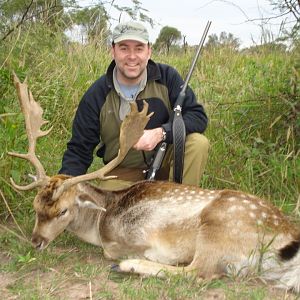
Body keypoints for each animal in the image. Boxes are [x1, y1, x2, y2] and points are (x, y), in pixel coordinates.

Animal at [9, 74, 300, 292]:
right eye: (36, 207)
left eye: (63, 211)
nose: (36, 241)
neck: (101, 220)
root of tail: (285, 239)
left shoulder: (127, 240)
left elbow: (115, 252)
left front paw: (133, 259)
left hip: (219, 227)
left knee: (199, 272)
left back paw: (130, 266)